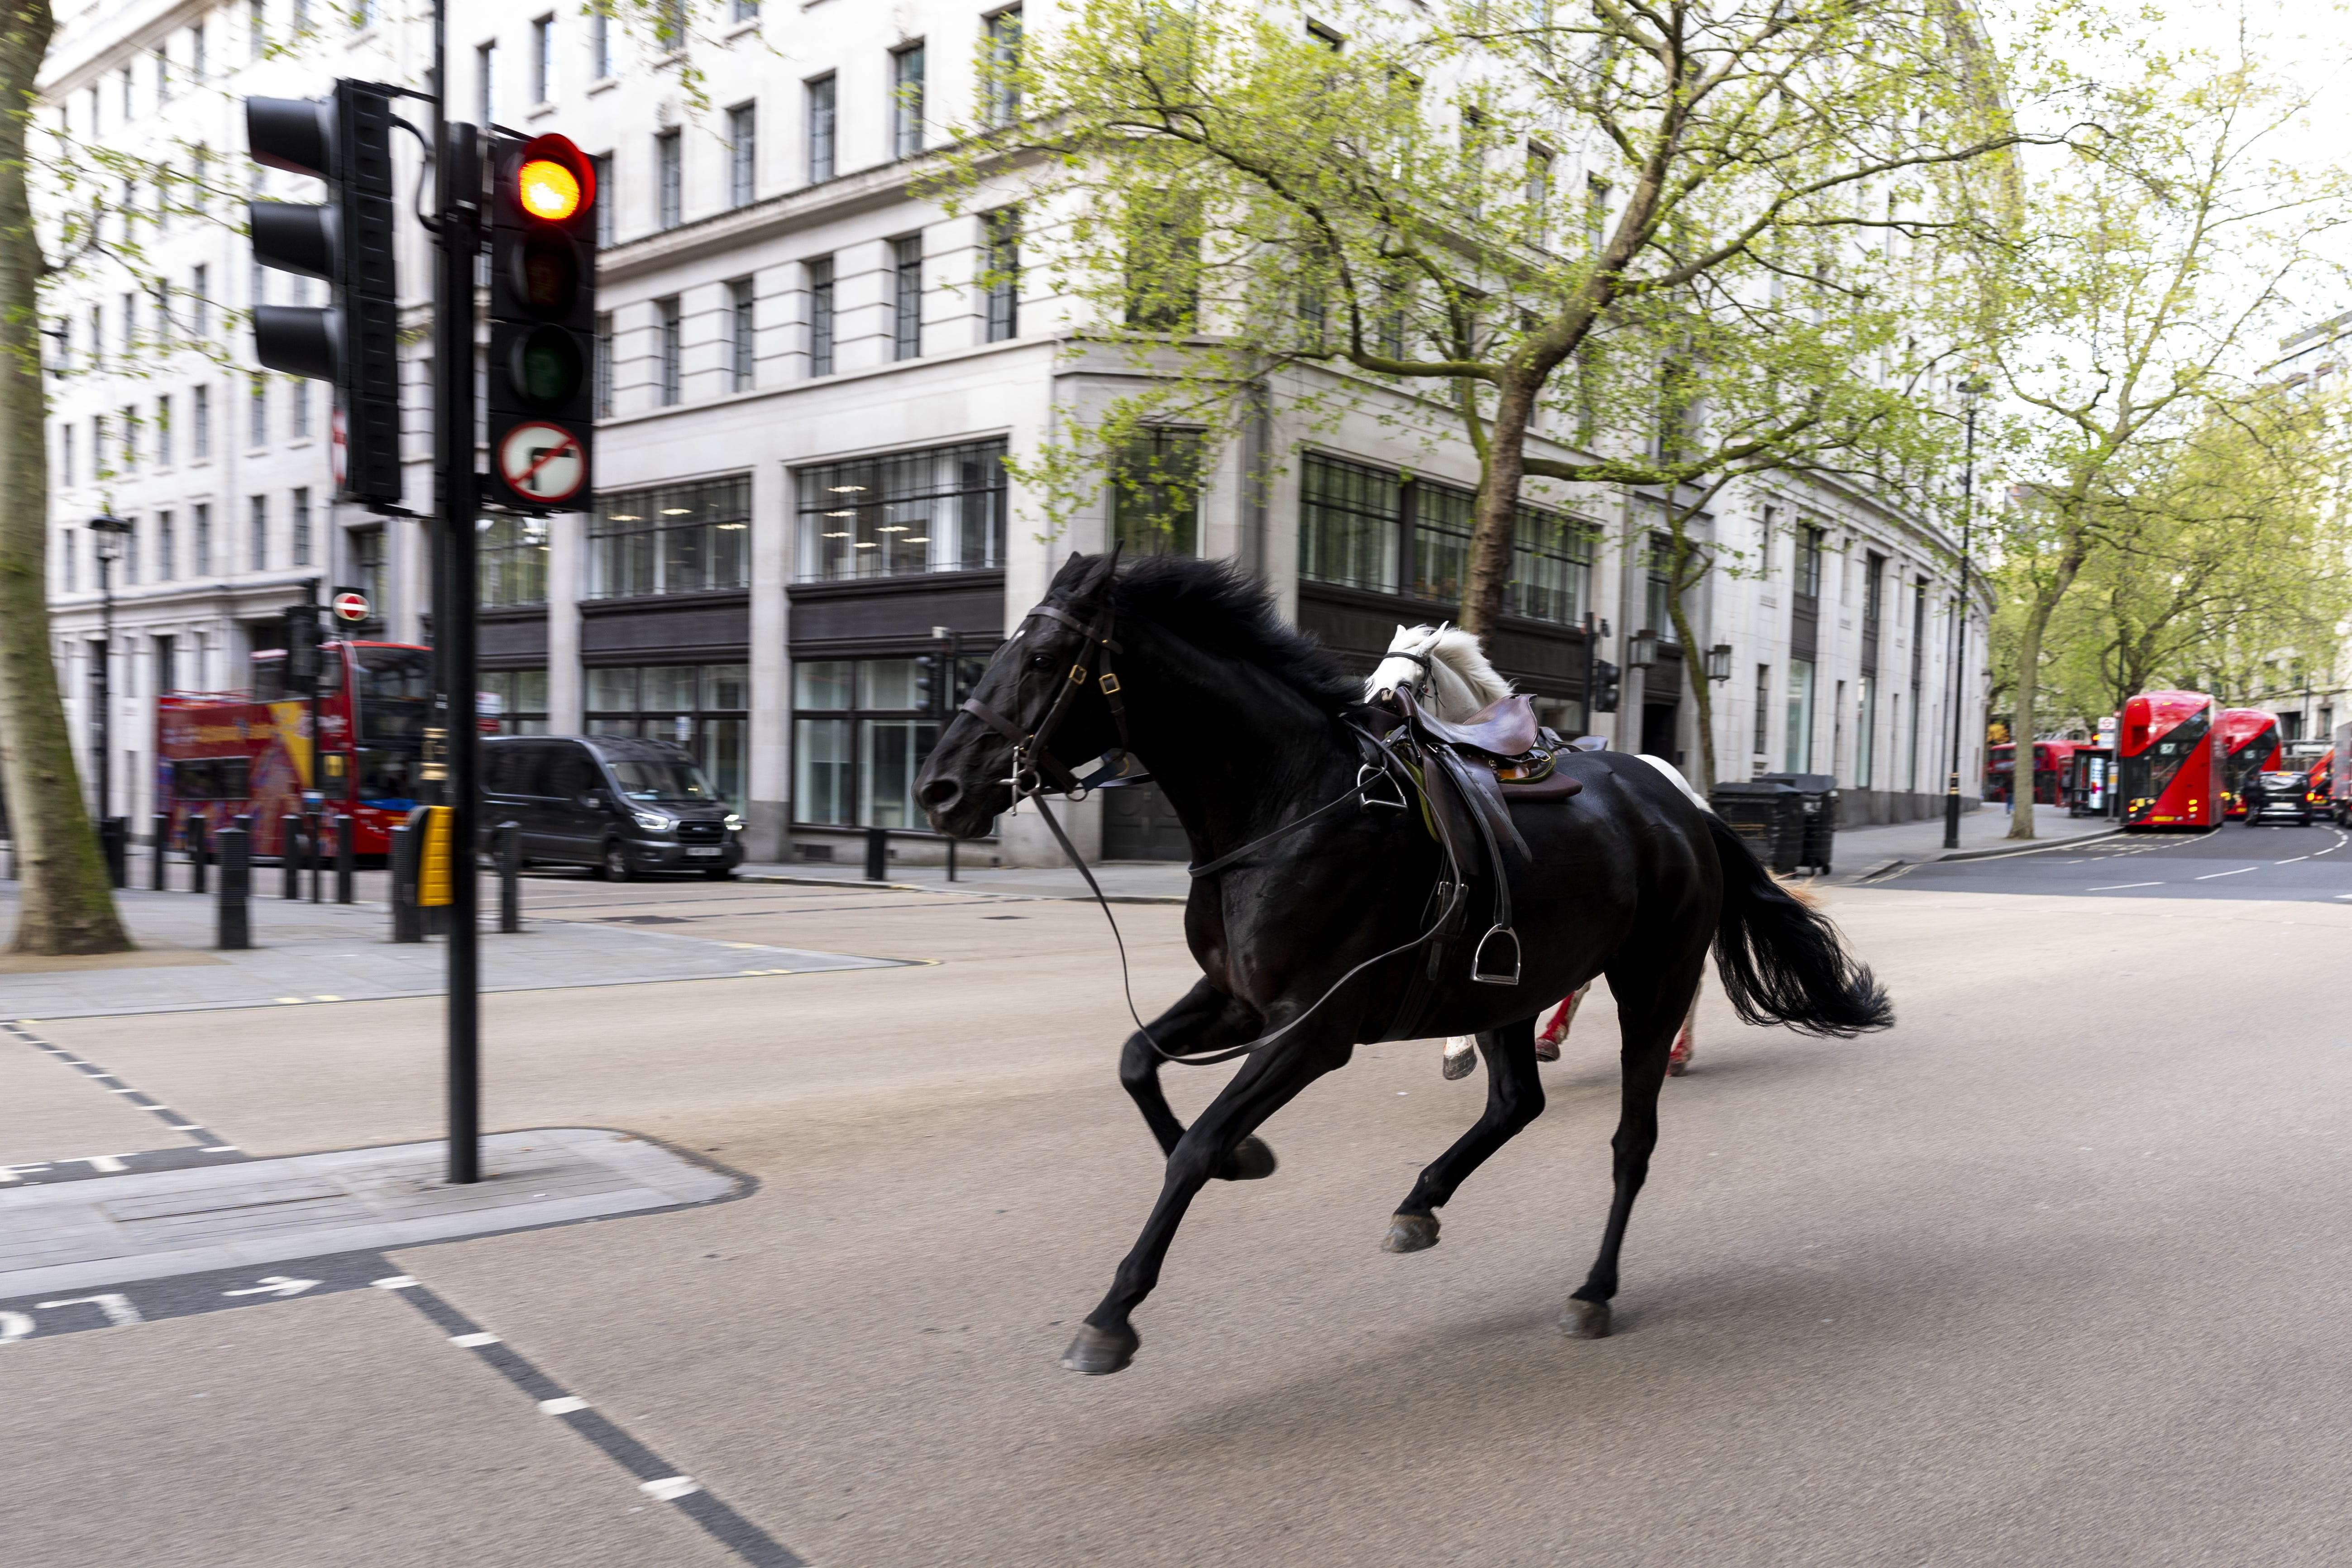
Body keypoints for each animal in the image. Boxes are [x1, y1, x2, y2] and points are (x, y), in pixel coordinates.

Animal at [1364, 625, 1712, 1081]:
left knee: (1691, 971)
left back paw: (1679, 1051)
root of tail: (1684, 786)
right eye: (1372, 680)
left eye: (1404, 687)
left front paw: (1459, 1047)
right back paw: (1551, 1037)